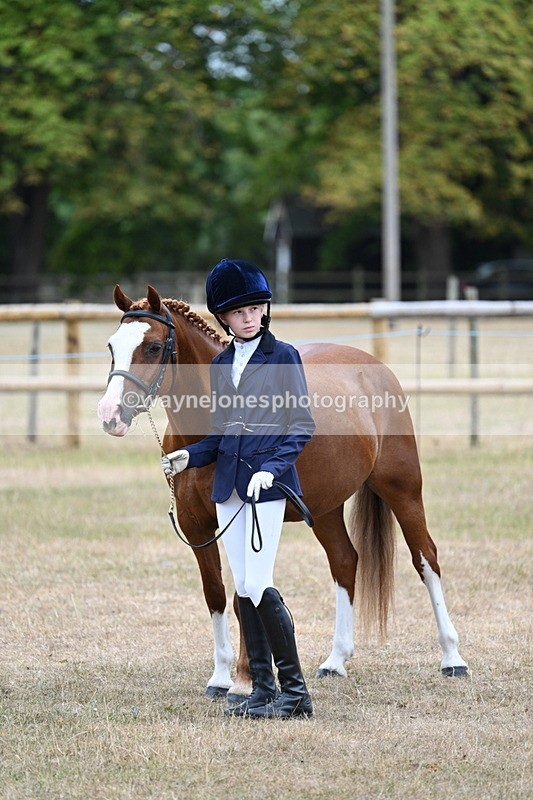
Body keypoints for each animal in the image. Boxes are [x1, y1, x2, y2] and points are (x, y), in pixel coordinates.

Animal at [97, 284, 469, 698]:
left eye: (153, 347)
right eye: (112, 346)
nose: (110, 415)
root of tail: (373, 368)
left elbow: (243, 596)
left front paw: (245, 681)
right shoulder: (197, 528)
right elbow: (216, 594)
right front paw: (220, 677)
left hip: (402, 490)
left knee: (426, 560)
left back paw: (452, 658)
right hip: (324, 508)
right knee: (345, 561)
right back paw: (335, 661)